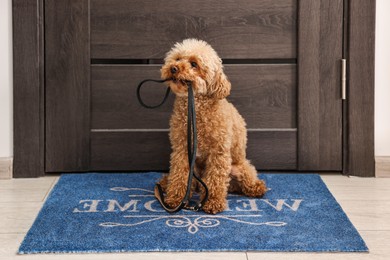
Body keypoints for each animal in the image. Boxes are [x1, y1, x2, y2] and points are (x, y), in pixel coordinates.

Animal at [157, 38, 266, 213]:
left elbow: (216, 179)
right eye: (177, 58)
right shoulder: (181, 149)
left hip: (239, 167)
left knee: (246, 176)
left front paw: (213, 202)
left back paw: (257, 187)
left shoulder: (219, 152)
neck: (197, 110)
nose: (173, 68)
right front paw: (175, 199)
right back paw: (166, 183)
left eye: (194, 64)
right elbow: (179, 174)